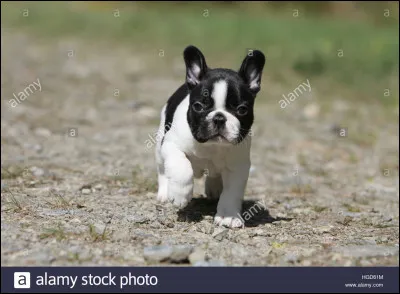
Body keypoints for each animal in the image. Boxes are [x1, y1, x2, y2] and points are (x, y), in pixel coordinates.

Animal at [156, 46, 266, 229]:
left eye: (242, 109)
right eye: (198, 106)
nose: (219, 118)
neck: (212, 146)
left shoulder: (238, 166)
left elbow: (232, 192)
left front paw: (228, 216)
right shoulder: (171, 145)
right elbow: (181, 167)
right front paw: (180, 195)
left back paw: (214, 188)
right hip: (159, 147)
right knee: (163, 171)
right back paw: (165, 192)